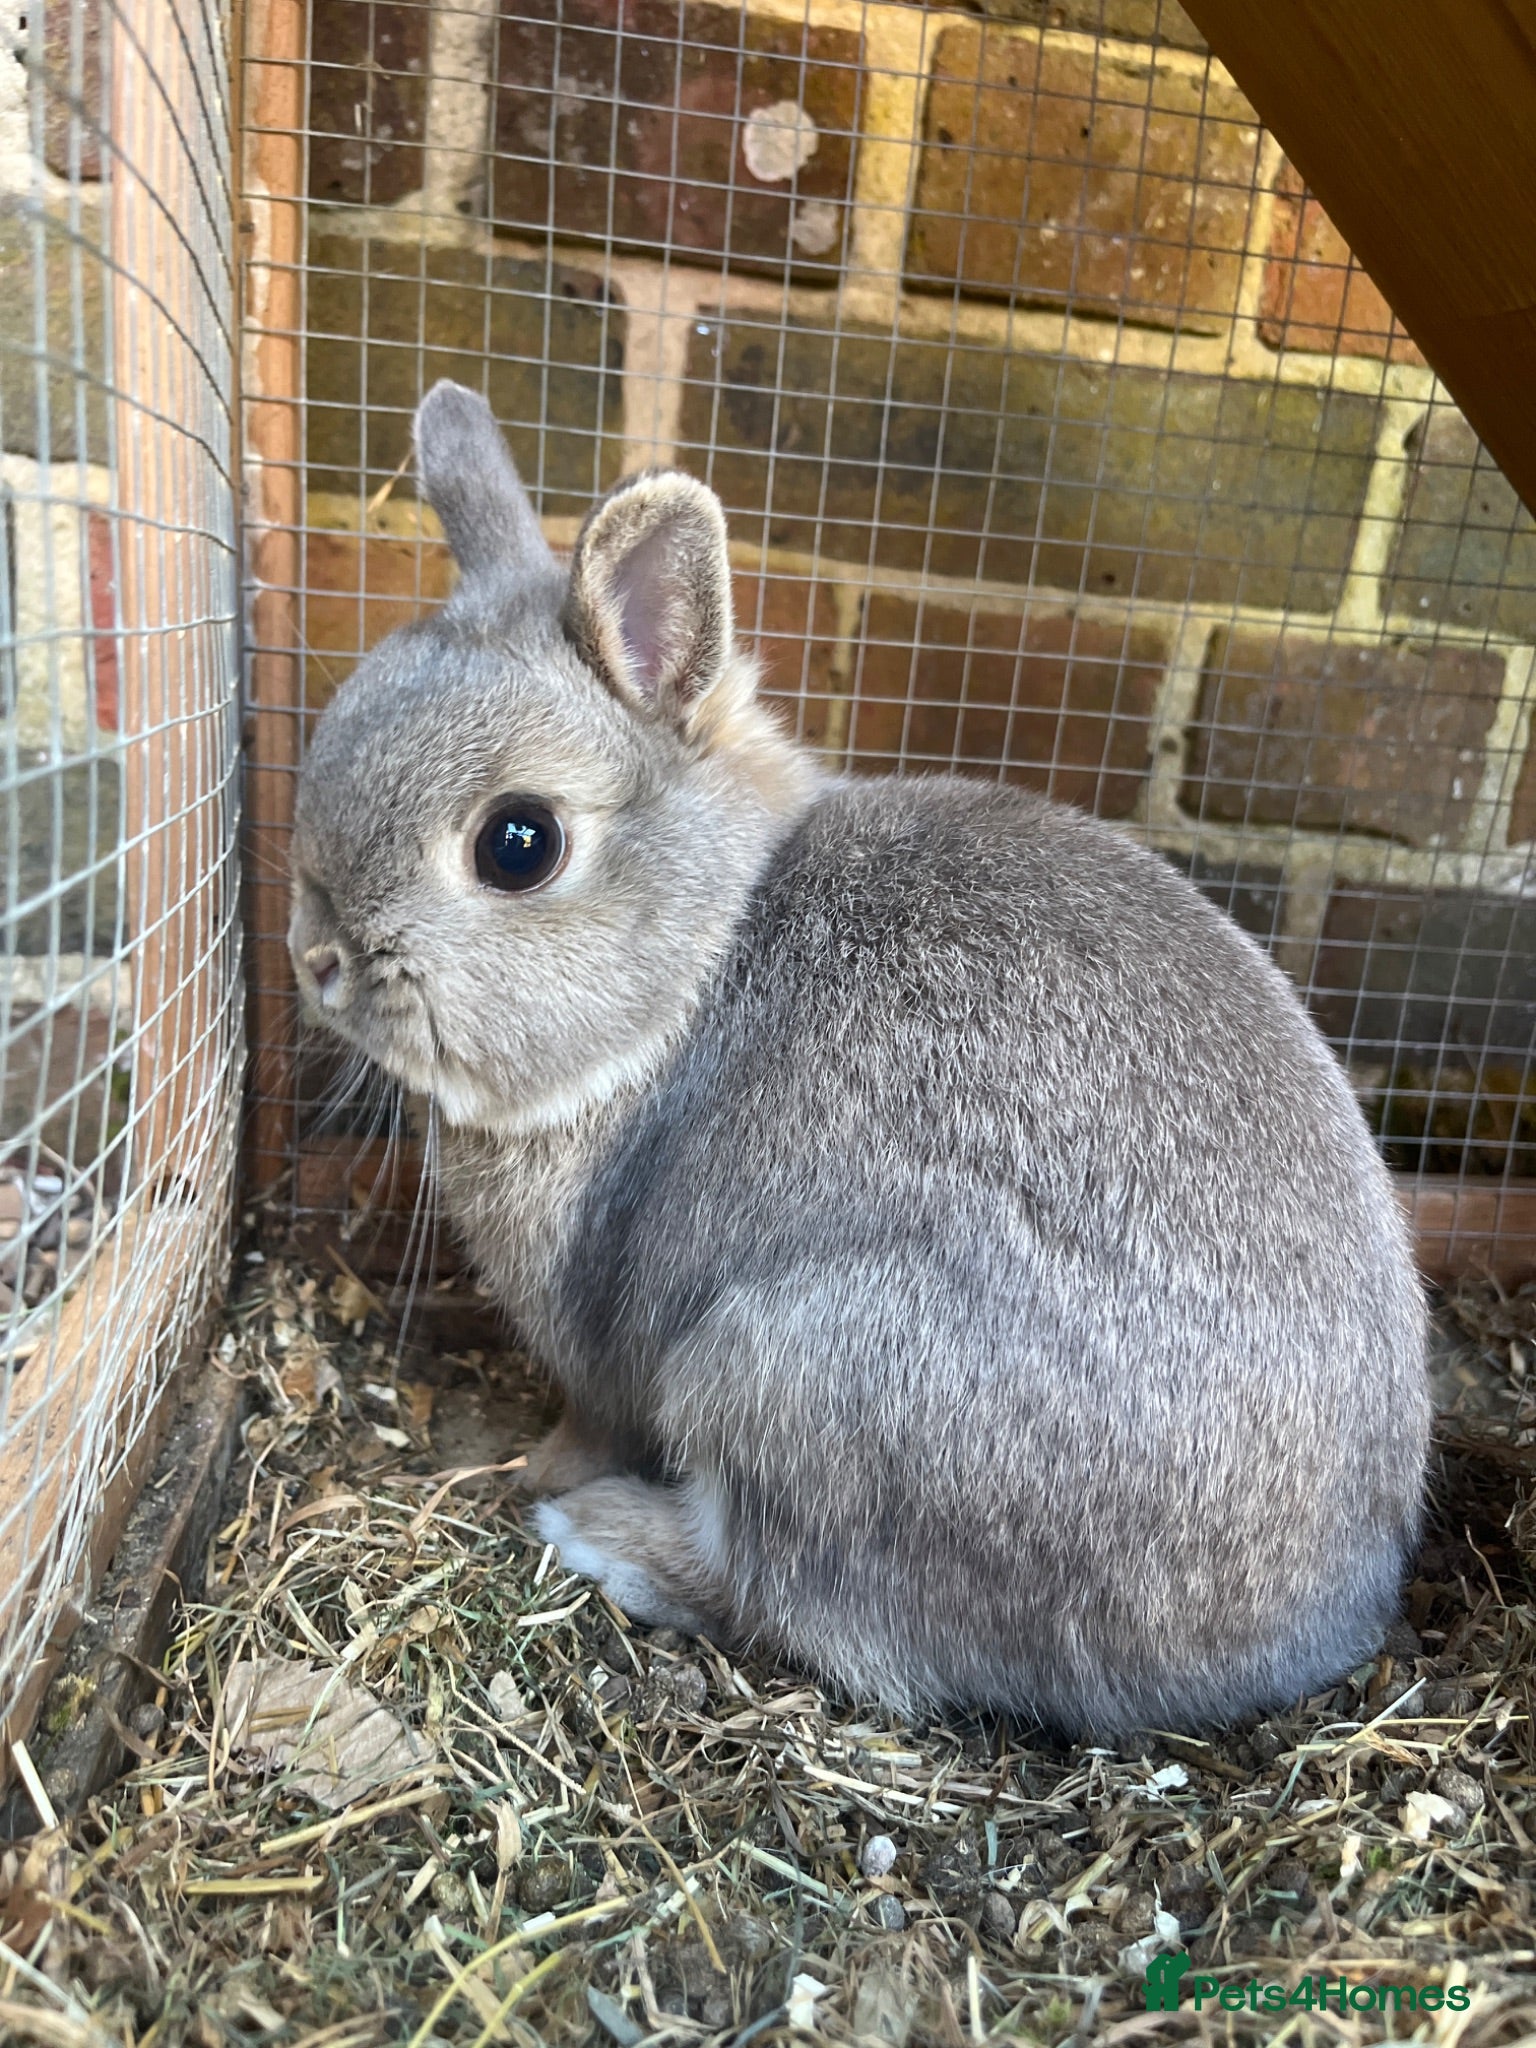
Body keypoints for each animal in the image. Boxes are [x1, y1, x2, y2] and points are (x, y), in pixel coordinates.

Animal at [290, 379, 1430, 1740]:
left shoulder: (613, 1350)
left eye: (518, 843)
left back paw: (598, 1531)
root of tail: (1305, 1626)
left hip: (780, 1372)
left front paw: (541, 1469)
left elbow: (598, 1417)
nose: (315, 957)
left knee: (783, 1593)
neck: (695, 970)